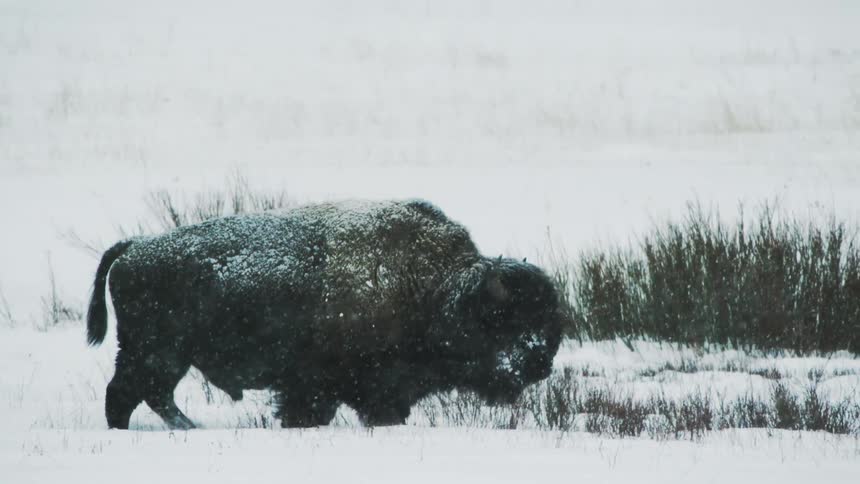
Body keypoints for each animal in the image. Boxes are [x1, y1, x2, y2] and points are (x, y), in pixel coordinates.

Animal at [87, 199, 564, 429]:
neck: (433, 288)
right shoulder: (325, 387)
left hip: (163, 356)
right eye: (503, 320)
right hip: (156, 353)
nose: (539, 362)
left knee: (146, 394)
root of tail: (134, 248)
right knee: (130, 394)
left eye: (547, 322)